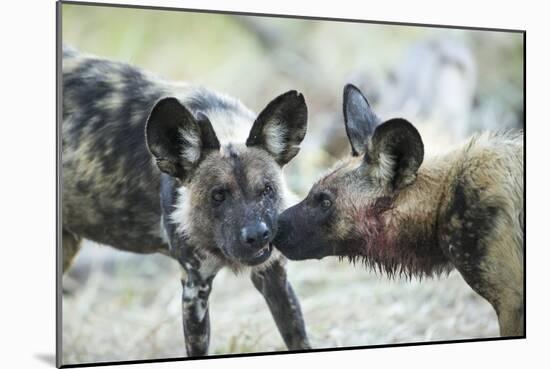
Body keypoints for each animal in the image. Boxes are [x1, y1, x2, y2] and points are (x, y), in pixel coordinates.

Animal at [61, 46, 310, 354]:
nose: (257, 235)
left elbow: (299, 337)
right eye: (218, 196)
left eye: (266, 190)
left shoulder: (274, 274)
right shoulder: (195, 289)